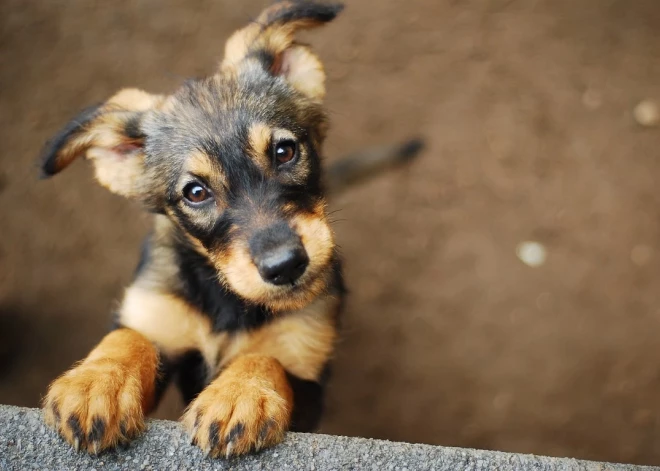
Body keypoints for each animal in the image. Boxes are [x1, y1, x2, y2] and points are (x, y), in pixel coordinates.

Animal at [41, 0, 420, 460]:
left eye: (285, 151)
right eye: (196, 192)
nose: (285, 266)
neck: (229, 301)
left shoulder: (307, 374)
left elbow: (266, 359)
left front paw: (239, 394)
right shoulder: (157, 314)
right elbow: (129, 338)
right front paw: (96, 383)